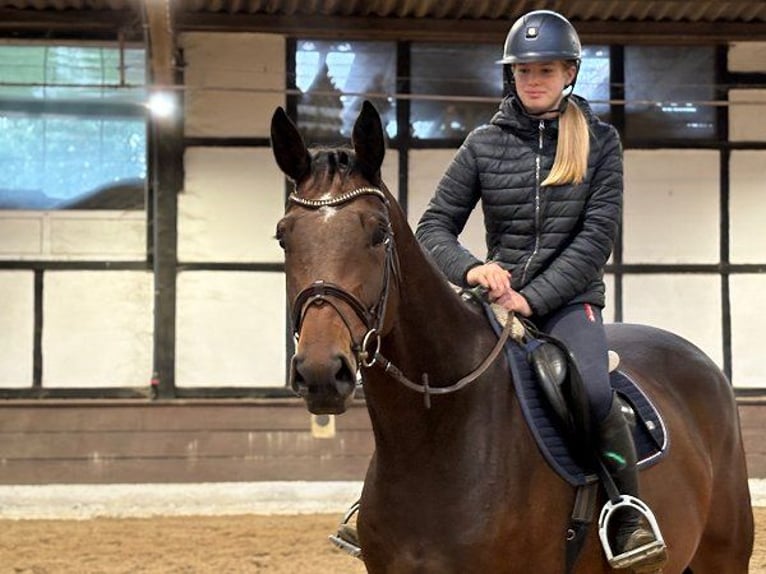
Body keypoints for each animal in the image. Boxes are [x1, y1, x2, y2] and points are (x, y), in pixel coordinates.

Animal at [270, 101, 754, 573]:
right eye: (283, 236)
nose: (320, 372)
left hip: (724, 554)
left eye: (378, 233)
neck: (434, 435)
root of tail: (704, 363)